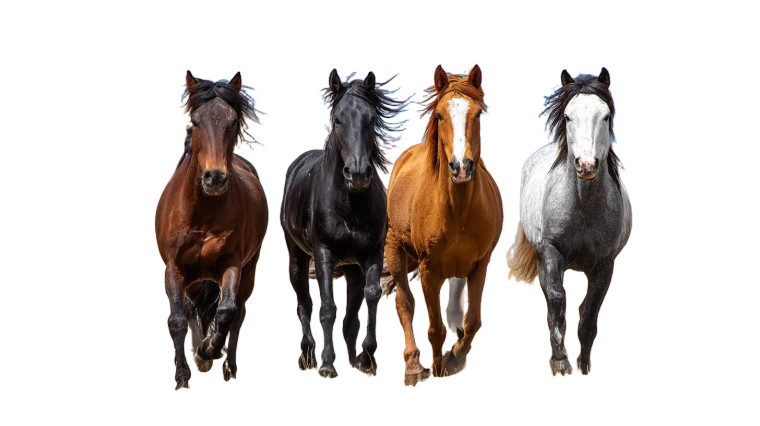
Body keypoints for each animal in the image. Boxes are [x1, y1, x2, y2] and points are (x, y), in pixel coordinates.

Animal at [155, 71, 268, 389]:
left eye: (232, 122)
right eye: (195, 121)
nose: (214, 178)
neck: (203, 215)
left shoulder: (232, 265)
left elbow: (227, 311)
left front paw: (209, 350)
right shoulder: (175, 269)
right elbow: (177, 319)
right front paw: (183, 373)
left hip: (249, 271)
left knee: (238, 313)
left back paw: (227, 364)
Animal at [280, 69, 407, 378]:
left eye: (372, 118)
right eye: (338, 119)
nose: (358, 173)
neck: (350, 204)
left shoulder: (372, 254)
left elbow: (371, 297)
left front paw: (368, 357)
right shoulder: (323, 253)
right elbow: (327, 308)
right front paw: (327, 363)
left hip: (351, 268)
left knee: (351, 317)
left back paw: (353, 359)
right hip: (297, 256)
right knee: (304, 304)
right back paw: (308, 355)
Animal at [384, 65, 503, 386]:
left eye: (478, 113)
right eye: (439, 115)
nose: (461, 167)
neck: (458, 213)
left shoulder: (480, 265)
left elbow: (472, 321)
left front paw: (454, 358)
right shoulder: (429, 270)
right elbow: (434, 328)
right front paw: (437, 366)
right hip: (394, 250)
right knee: (404, 304)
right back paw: (413, 364)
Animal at [507, 68, 632, 376]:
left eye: (606, 116)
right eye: (567, 116)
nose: (586, 165)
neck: (583, 208)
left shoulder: (604, 265)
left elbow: (589, 317)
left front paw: (583, 363)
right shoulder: (552, 253)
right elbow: (556, 302)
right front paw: (560, 361)